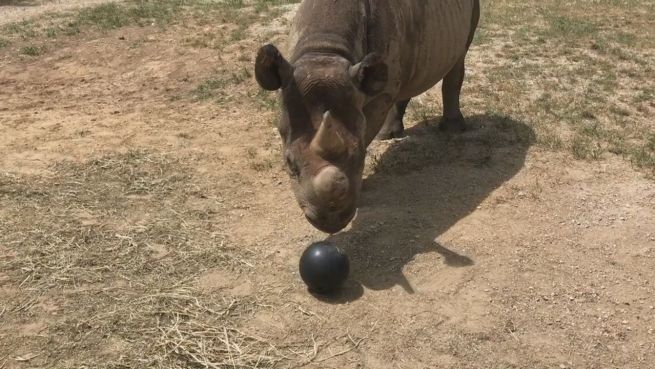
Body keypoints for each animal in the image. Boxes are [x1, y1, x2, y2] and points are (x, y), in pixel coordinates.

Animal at [256, 0, 482, 233]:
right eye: (289, 163)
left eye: (361, 159)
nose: (331, 223)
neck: (324, 53)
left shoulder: (375, 93)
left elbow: (365, 132)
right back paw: (389, 135)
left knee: (459, 55)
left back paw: (452, 129)